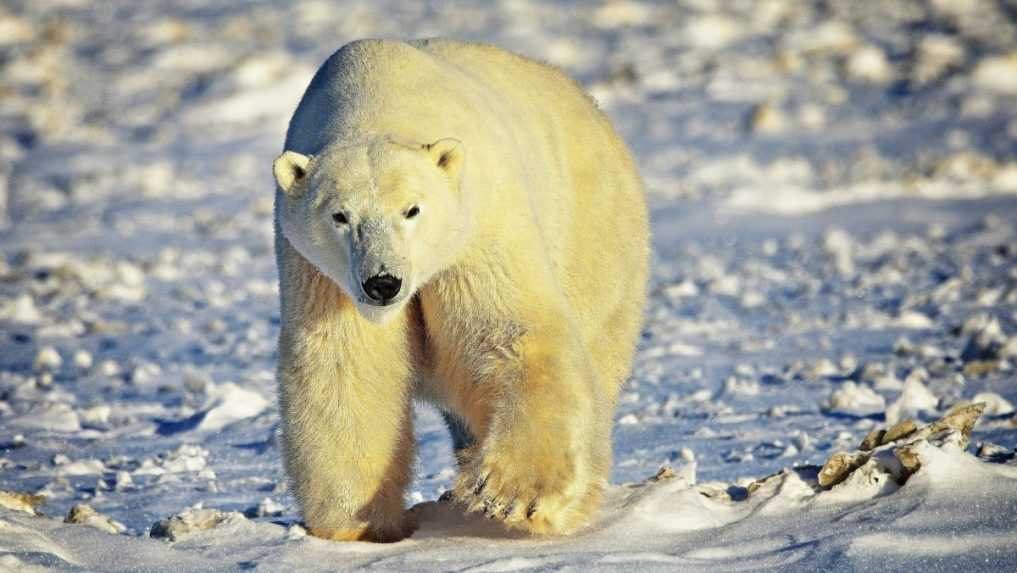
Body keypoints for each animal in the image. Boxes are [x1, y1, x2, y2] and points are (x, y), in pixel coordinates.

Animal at [274, 39, 646, 541]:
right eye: (340, 216)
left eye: (412, 210)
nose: (383, 283)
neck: (376, 100)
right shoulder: (319, 273)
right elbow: (346, 364)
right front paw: (359, 523)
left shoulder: (478, 226)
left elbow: (508, 331)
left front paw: (516, 495)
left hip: (595, 239)